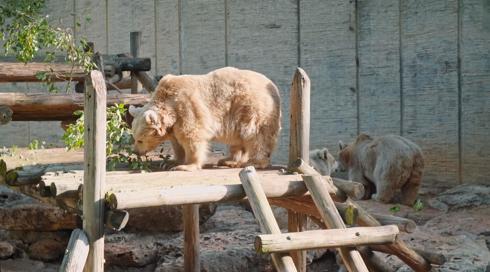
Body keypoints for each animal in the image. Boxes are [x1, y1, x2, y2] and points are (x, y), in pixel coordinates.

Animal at [128, 66, 282, 171]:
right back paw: (229, 160)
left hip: (251, 107)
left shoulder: (187, 106)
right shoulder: (175, 122)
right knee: (238, 139)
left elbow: (192, 136)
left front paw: (186, 166)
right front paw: (171, 162)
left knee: (256, 135)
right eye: (134, 138)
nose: (136, 151)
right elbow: (177, 142)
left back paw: (254, 162)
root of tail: (274, 88)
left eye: (140, 140)